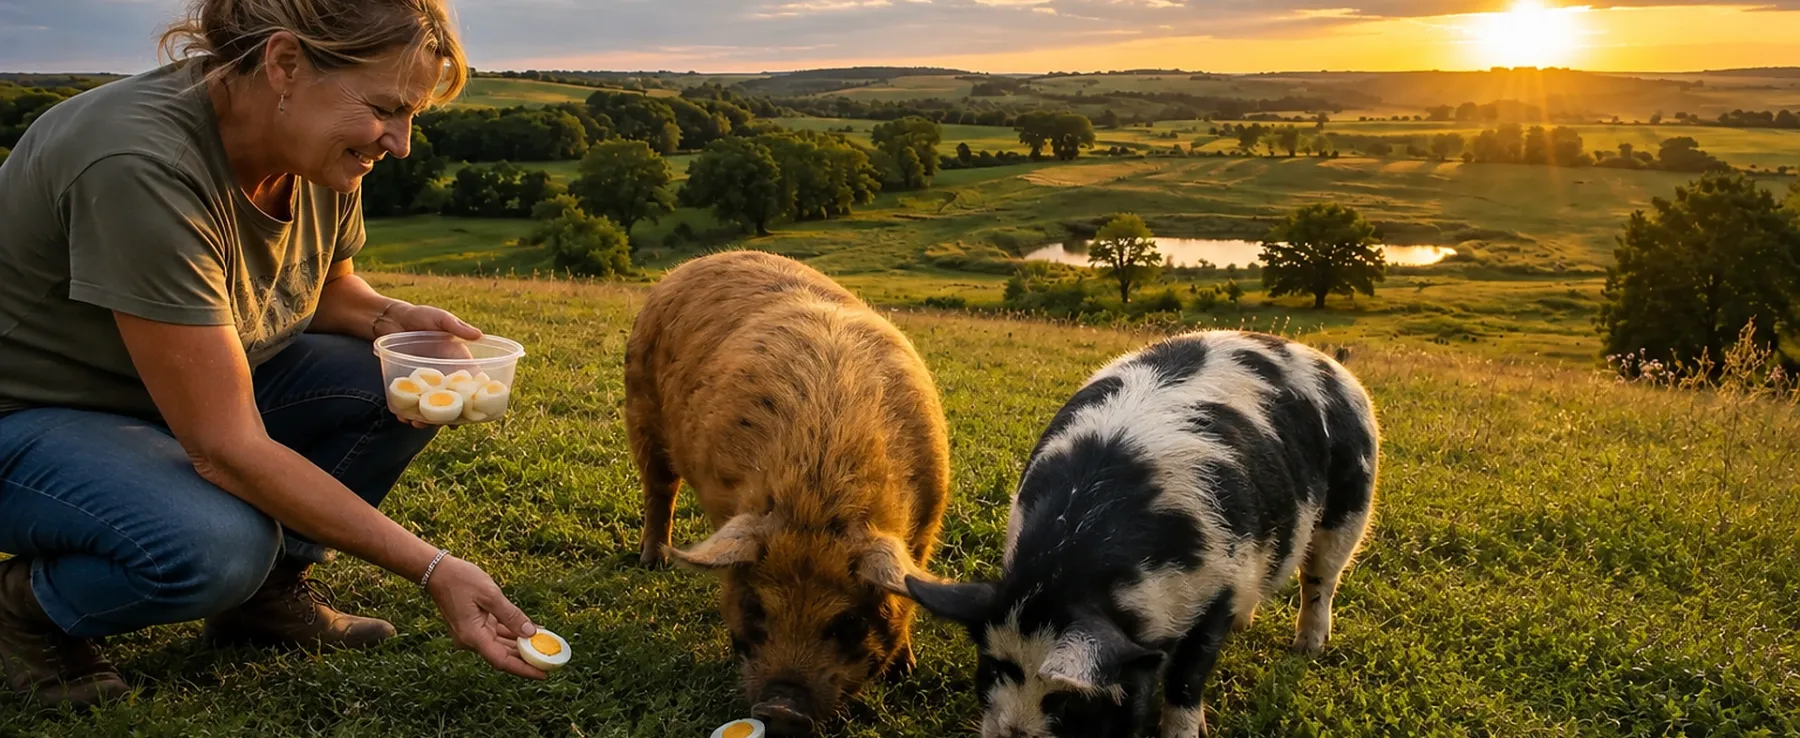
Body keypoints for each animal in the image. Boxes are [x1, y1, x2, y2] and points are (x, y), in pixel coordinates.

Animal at [624, 250, 951, 736]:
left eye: (849, 622)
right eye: (757, 608)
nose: (781, 707)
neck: (817, 492)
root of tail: (694, 263)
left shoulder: (928, 520)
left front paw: (904, 671)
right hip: (640, 404)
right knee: (659, 488)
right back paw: (652, 561)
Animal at [906, 330, 1380, 738]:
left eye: (1070, 701)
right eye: (990, 670)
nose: (1014, 732)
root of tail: (1325, 361)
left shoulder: (1220, 587)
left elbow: (1188, 677)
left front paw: (1186, 732)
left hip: (1352, 502)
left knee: (1321, 579)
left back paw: (1307, 648)